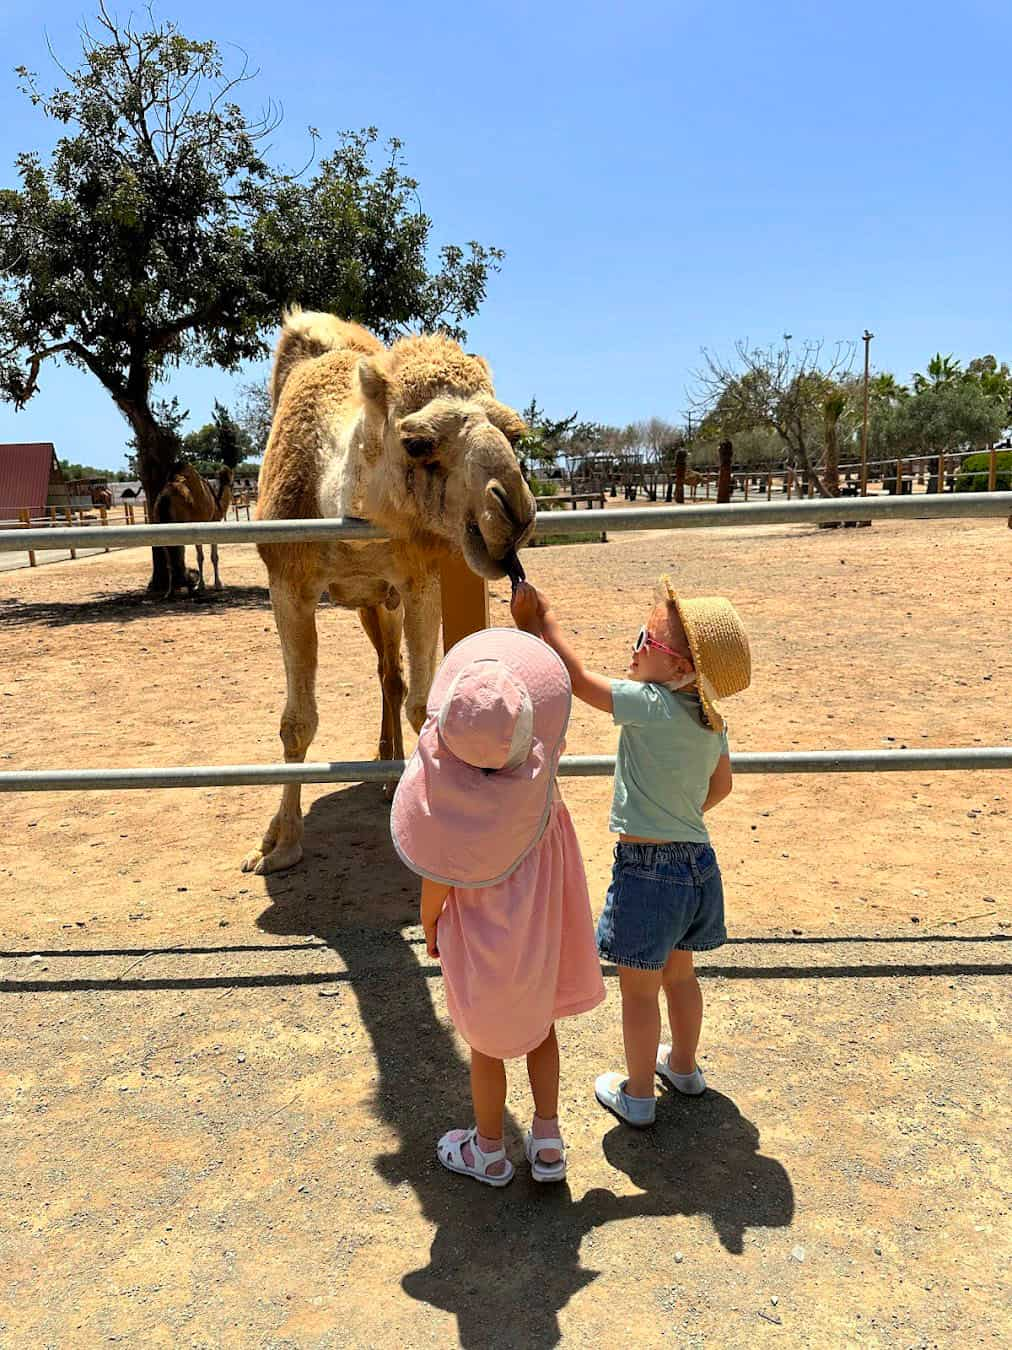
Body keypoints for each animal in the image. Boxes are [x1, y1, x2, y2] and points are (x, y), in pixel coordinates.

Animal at [154, 459, 236, 596]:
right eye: (233, 483)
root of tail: (164, 497)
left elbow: (200, 557)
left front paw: (201, 585)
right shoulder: (211, 523)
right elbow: (211, 557)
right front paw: (216, 585)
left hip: (160, 525)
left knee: (169, 558)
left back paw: (170, 591)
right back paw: (183, 585)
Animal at [244, 306, 539, 874]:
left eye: (514, 432)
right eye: (417, 442)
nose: (514, 511)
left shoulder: (419, 578)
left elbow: (423, 705)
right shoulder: (286, 583)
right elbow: (296, 722)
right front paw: (278, 845)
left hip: (385, 600)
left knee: (392, 677)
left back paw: (390, 772)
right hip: (366, 604)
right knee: (386, 674)